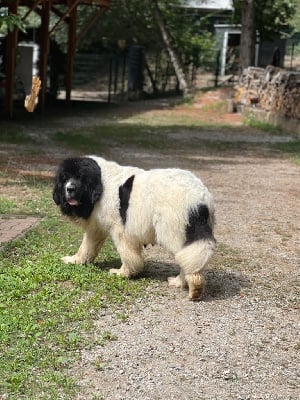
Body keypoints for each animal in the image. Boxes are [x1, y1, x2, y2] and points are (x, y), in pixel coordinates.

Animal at [52, 156, 216, 300]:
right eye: (65, 178)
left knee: (188, 256)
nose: (70, 189)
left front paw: (124, 272)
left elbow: (126, 253)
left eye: (80, 177)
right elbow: (86, 246)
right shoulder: (97, 227)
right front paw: (76, 260)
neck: (100, 185)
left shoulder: (120, 229)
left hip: (173, 230)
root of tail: (199, 197)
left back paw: (186, 282)